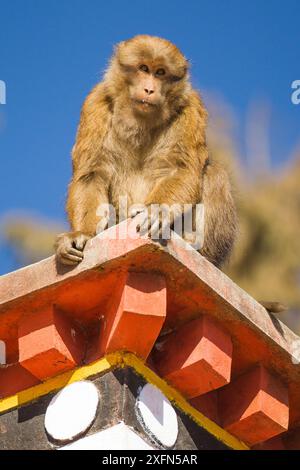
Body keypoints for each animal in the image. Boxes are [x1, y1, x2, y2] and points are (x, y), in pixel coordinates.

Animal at [55, 35, 237, 270]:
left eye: (160, 72)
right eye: (143, 68)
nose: (150, 89)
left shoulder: (191, 106)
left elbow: (181, 168)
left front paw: (155, 211)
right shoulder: (96, 102)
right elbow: (91, 174)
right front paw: (82, 234)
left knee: (215, 173)